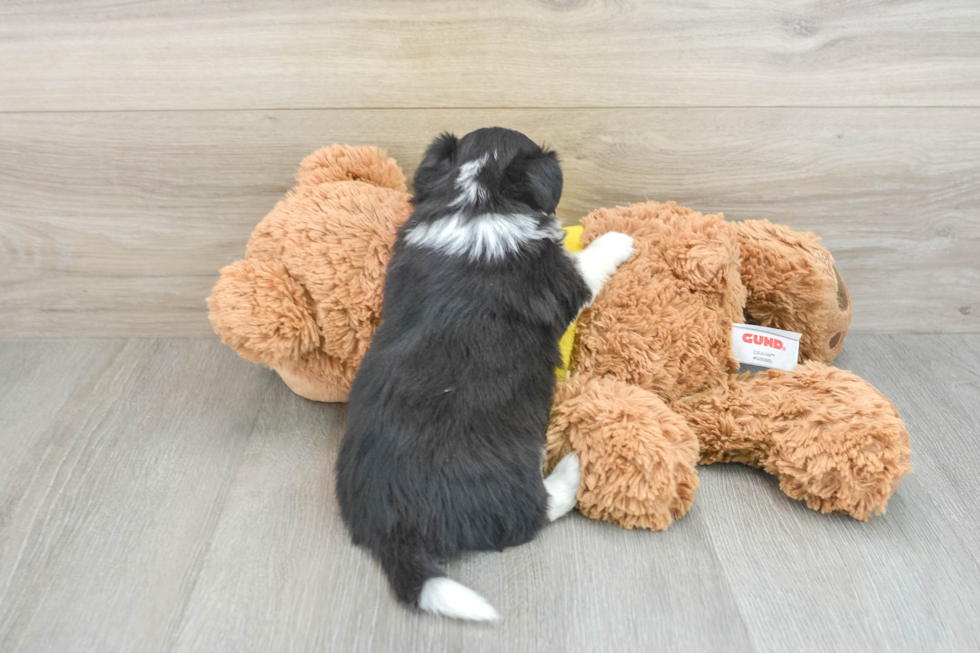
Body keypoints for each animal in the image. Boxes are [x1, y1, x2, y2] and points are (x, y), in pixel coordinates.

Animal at [336, 127, 636, 620]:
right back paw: (571, 470)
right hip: (508, 483)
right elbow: (590, 259)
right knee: (535, 512)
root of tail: (393, 529)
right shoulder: (565, 278)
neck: (478, 196)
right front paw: (619, 238)